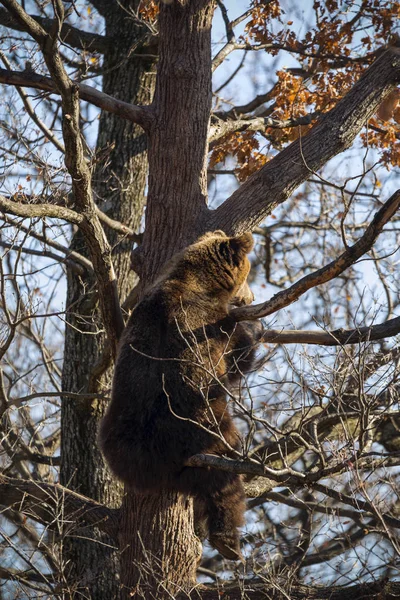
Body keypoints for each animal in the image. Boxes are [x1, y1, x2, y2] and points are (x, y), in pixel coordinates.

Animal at [99, 231, 262, 564]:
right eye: (249, 272)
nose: (251, 298)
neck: (199, 284)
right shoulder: (208, 327)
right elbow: (236, 357)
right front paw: (255, 327)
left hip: (120, 444)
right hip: (202, 433)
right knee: (225, 478)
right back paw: (228, 540)